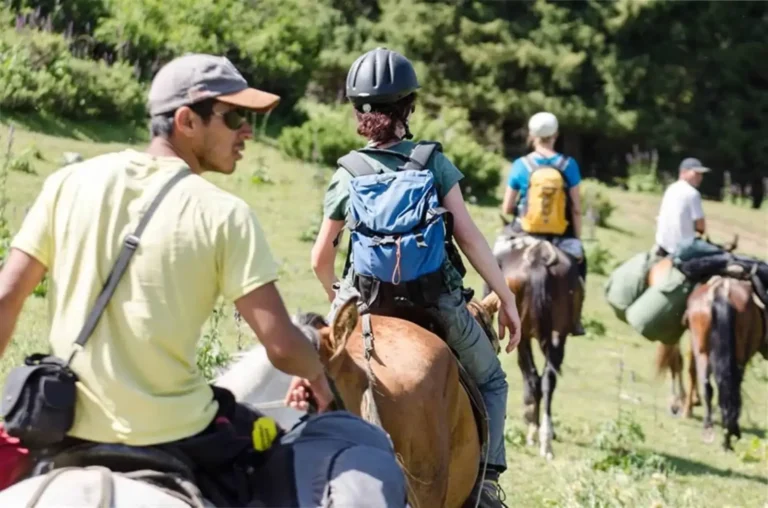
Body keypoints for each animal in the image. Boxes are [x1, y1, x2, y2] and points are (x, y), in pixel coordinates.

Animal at [484, 218, 584, 460]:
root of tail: (539, 260)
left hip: (522, 332)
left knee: (531, 376)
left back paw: (534, 429)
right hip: (558, 333)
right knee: (548, 379)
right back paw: (545, 440)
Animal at [680, 278, 764, 448]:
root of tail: (720, 291)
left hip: (703, 351)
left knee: (708, 386)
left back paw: (710, 427)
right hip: (737, 355)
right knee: (731, 387)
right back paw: (729, 435)